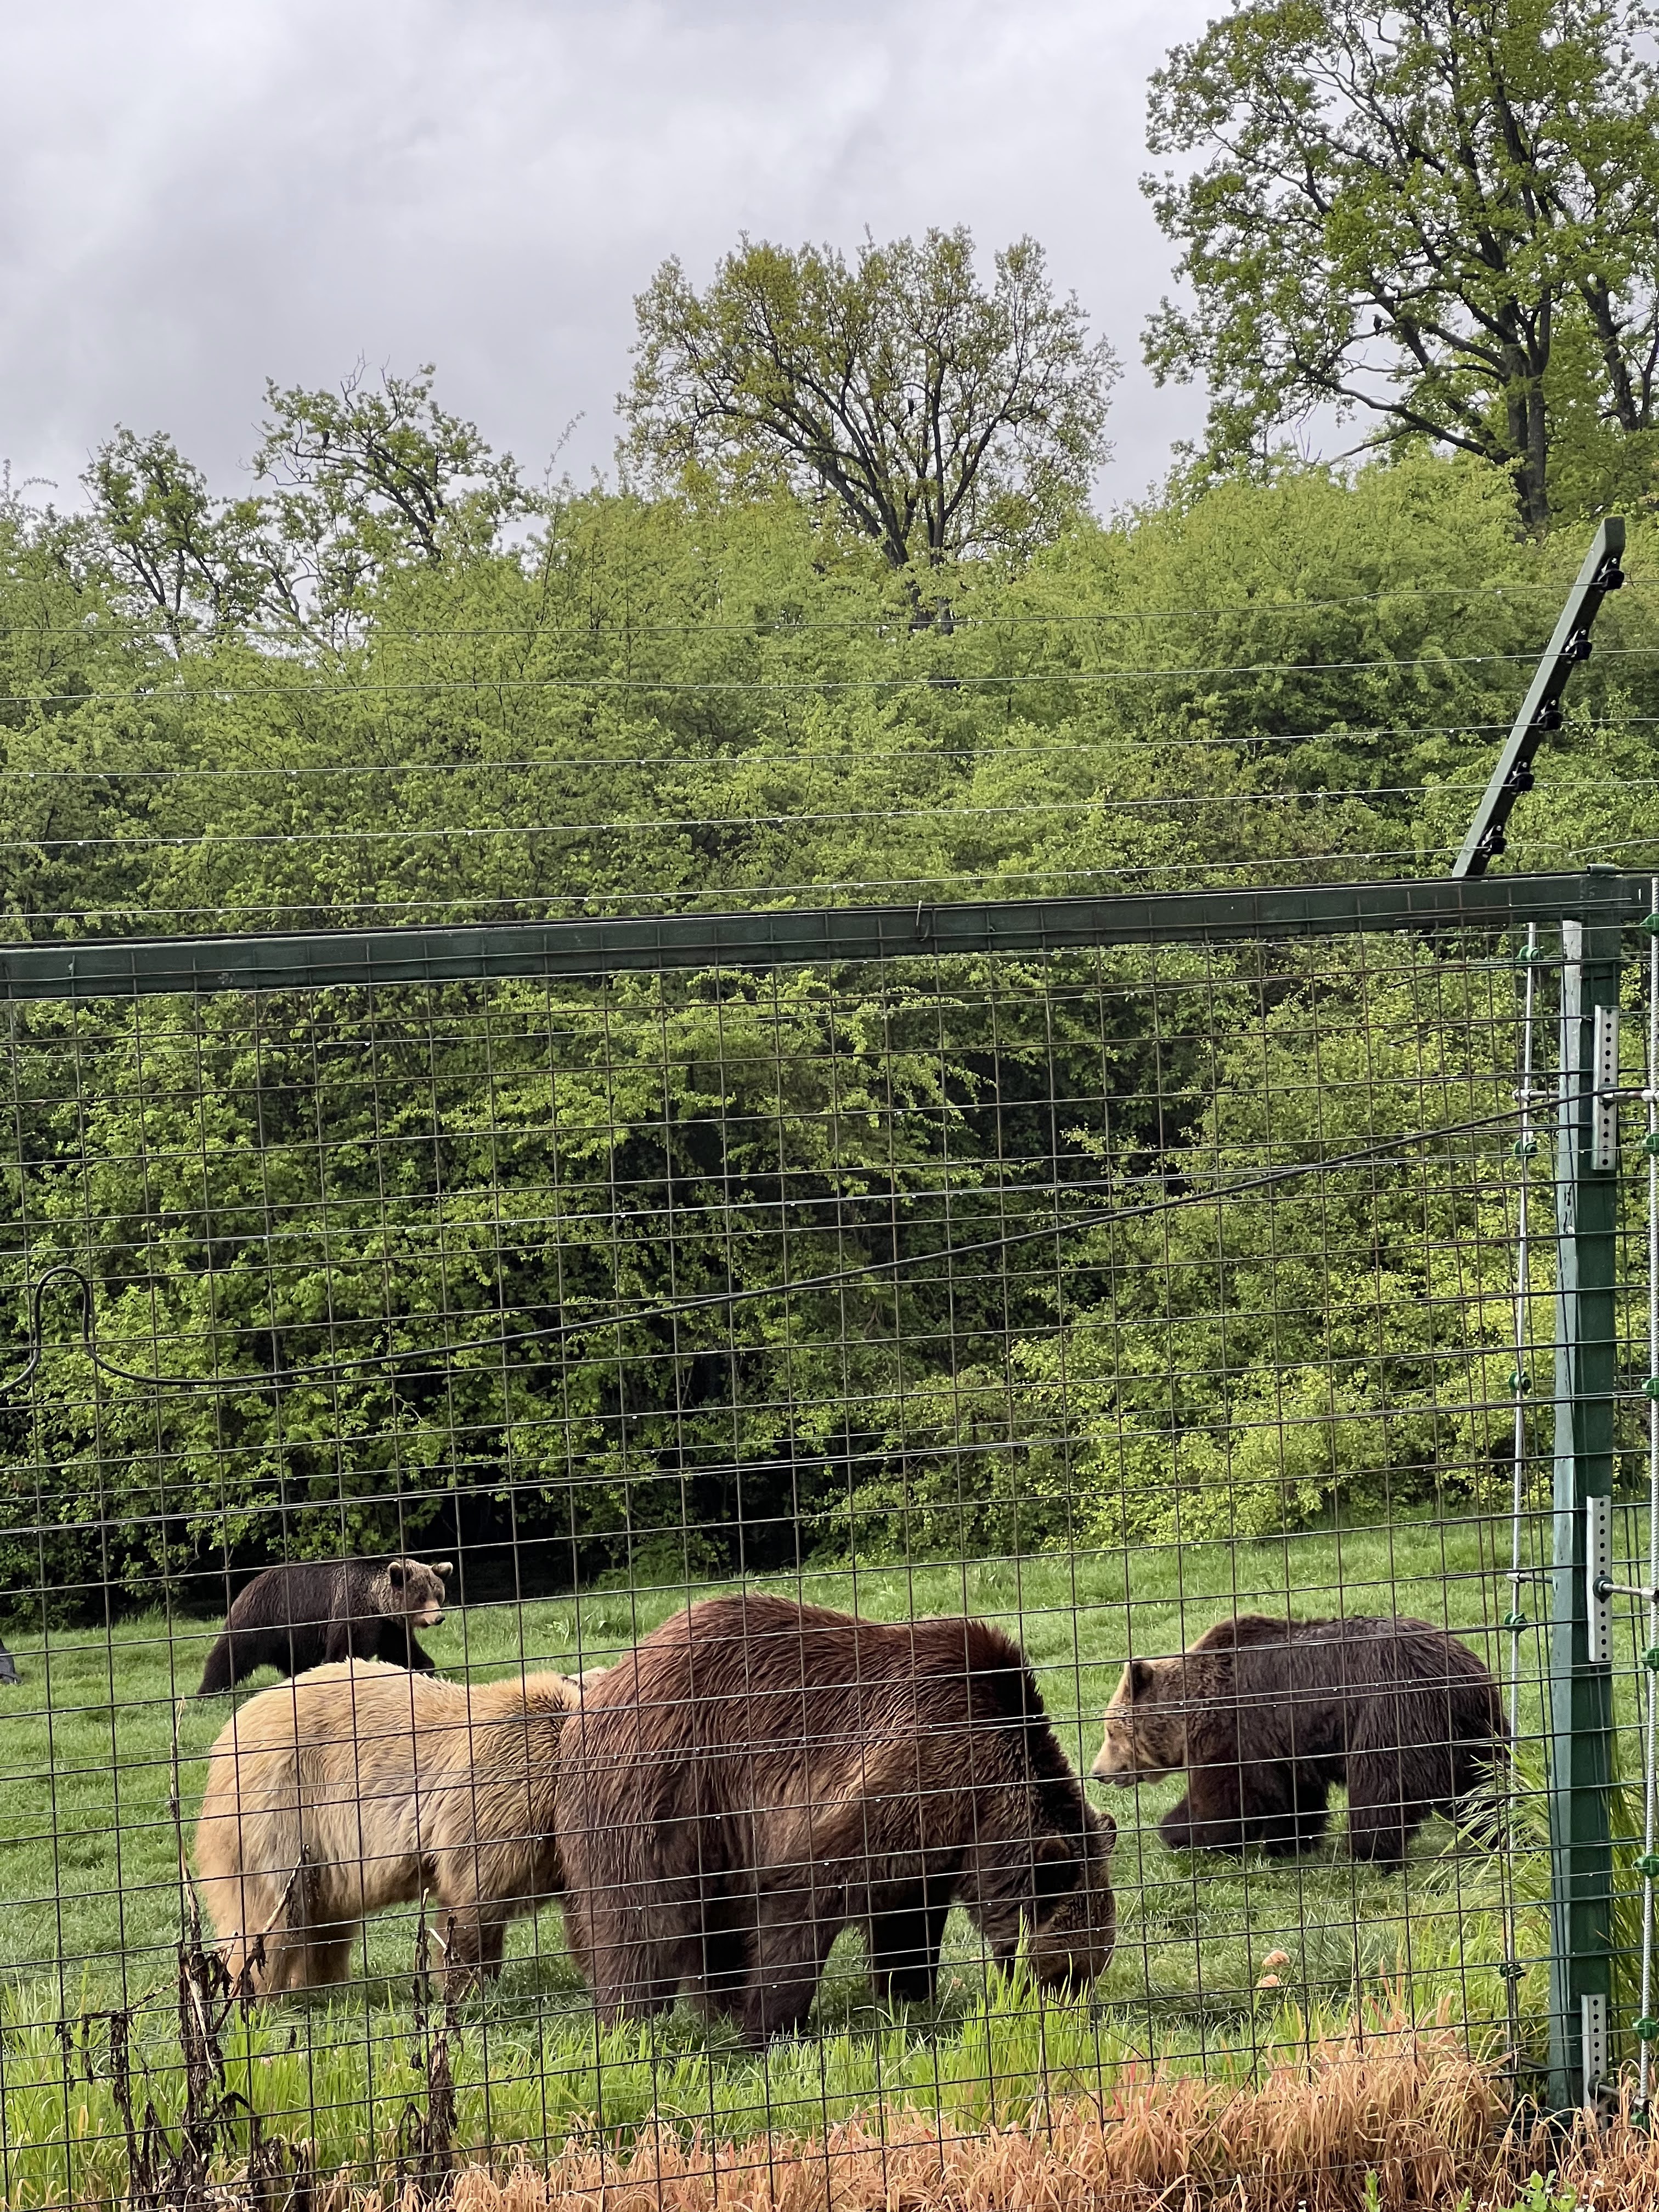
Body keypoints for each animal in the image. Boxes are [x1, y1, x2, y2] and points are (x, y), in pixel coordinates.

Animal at [194, 1656, 582, 1994]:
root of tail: (229, 1733)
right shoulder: (504, 1795)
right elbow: (474, 1900)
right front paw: (469, 1985)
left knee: (326, 1924)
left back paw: (325, 1986)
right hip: (280, 1812)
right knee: (270, 1915)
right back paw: (256, 1994)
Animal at [195, 1556, 452, 1695]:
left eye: (438, 1594)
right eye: (421, 1597)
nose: (438, 1618)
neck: (376, 1603)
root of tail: (250, 1583)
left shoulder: (388, 1626)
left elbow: (401, 1650)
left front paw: (424, 1667)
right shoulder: (352, 1611)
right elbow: (344, 1651)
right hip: (263, 1617)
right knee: (232, 1652)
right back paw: (209, 1689)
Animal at [554, 1592, 1113, 2044]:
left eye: (1091, 1969)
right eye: (1065, 1973)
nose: (1074, 2021)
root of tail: (605, 1683)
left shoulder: (940, 1837)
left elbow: (907, 1919)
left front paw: (908, 1995)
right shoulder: (912, 1770)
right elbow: (808, 1893)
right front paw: (771, 2029)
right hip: (665, 1786)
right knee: (641, 1918)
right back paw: (633, 2023)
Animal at [1090, 1612, 1505, 1869]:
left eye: (1110, 1731)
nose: (1098, 1772)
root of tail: (1460, 1672)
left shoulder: (1239, 1733)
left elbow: (1226, 1799)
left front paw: (1180, 1832)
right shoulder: (1282, 1743)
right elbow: (1293, 1799)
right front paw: (1289, 1844)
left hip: (1393, 1712)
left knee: (1381, 1787)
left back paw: (1369, 1852)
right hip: (1475, 1731)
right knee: (1485, 1786)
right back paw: (1498, 1833)